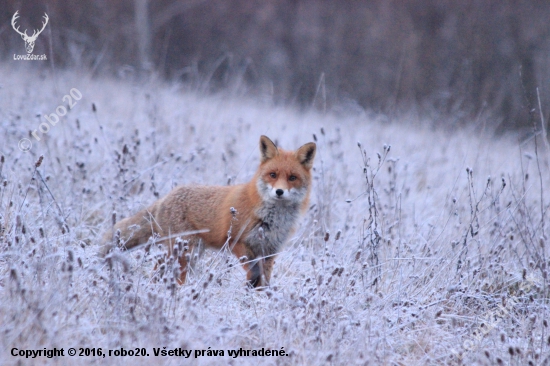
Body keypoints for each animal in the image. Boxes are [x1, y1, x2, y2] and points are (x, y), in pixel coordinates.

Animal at [103, 136, 316, 288]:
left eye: (292, 177)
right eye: (273, 175)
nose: (279, 192)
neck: (272, 218)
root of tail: (166, 196)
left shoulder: (270, 250)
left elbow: (264, 280)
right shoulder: (236, 242)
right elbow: (254, 272)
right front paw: (250, 288)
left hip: (188, 251)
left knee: (159, 267)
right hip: (186, 251)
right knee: (169, 271)